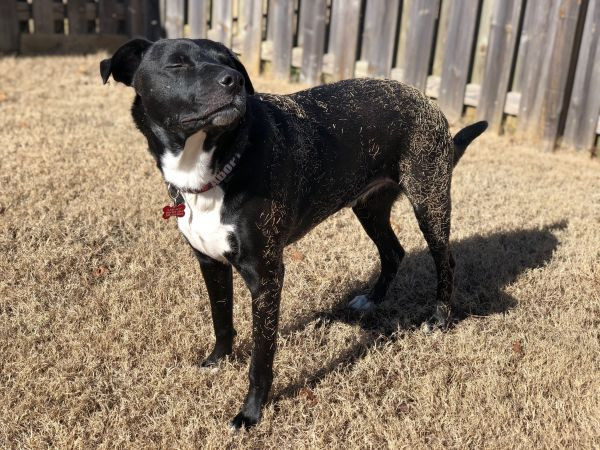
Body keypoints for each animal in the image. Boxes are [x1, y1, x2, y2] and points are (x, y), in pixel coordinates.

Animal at [99, 38, 488, 428]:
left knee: (445, 260)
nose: (232, 81)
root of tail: (425, 98)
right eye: (176, 64)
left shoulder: (266, 275)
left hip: (429, 199)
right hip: (368, 206)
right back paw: (372, 299)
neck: (216, 165)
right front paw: (218, 361)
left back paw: (439, 318)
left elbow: (262, 356)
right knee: (393, 252)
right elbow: (221, 319)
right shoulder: (210, 262)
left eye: (230, 63)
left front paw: (251, 412)